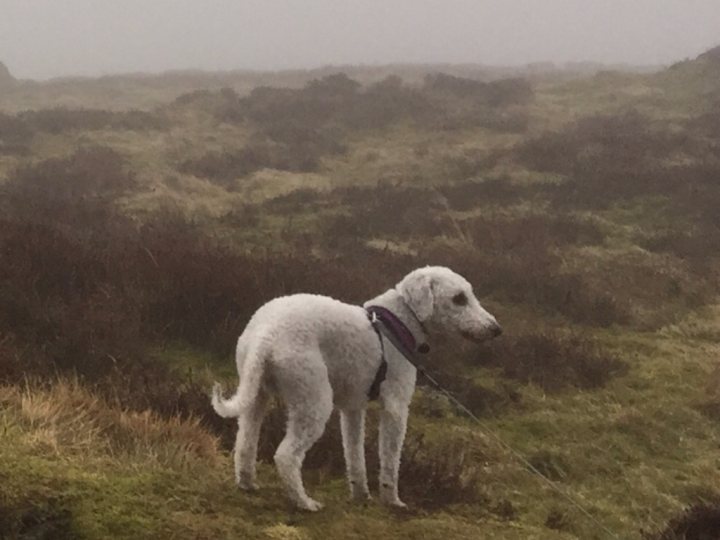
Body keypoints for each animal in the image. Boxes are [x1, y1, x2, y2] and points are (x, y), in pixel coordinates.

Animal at [210, 266, 500, 510]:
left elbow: (355, 454)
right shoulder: (395, 406)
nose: (496, 329)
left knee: (245, 443)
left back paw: (247, 483)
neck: (399, 322)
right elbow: (390, 459)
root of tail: (267, 334)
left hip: (257, 392)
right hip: (313, 399)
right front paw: (392, 501)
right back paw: (304, 502)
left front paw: (361, 494)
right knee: (286, 456)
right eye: (459, 298)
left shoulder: (352, 407)